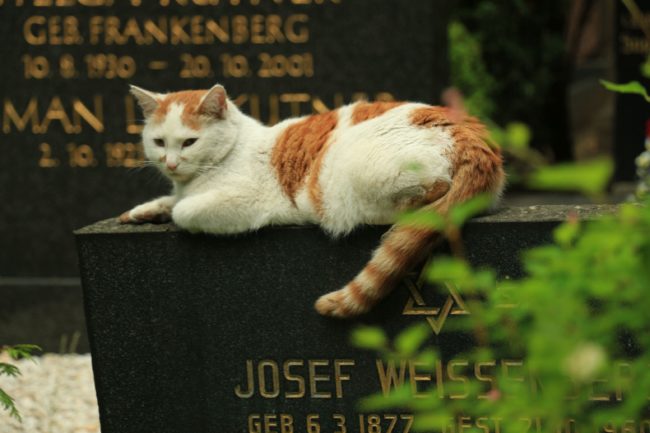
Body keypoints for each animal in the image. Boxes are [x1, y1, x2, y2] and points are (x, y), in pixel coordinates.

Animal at [123, 83, 506, 318]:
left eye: (189, 142)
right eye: (158, 142)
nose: (171, 163)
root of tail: (474, 137)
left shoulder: (243, 201)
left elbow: (184, 211)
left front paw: (170, 212)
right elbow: (168, 200)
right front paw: (142, 212)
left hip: (357, 171)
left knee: (432, 192)